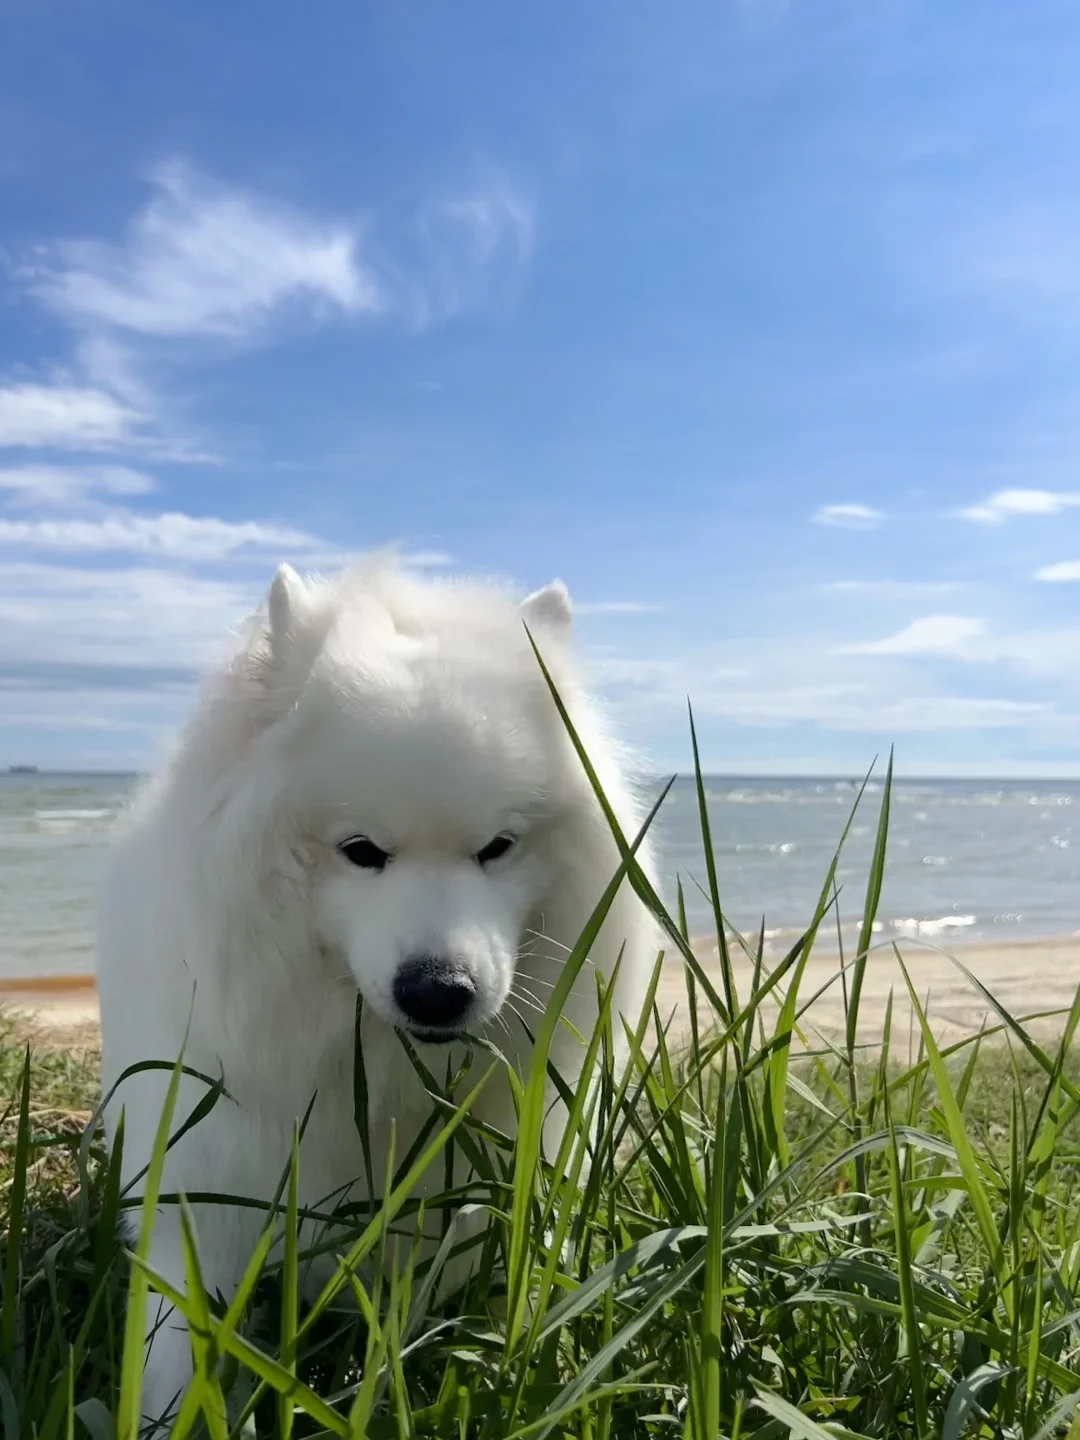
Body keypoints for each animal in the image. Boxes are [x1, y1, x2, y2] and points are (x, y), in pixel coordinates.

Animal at [99, 555, 659, 1422]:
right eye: (361, 850)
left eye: (497, 847)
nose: (438, 990)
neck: (378, 1072)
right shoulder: (209, 1183)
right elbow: (178, 1341)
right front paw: (168, 1415)